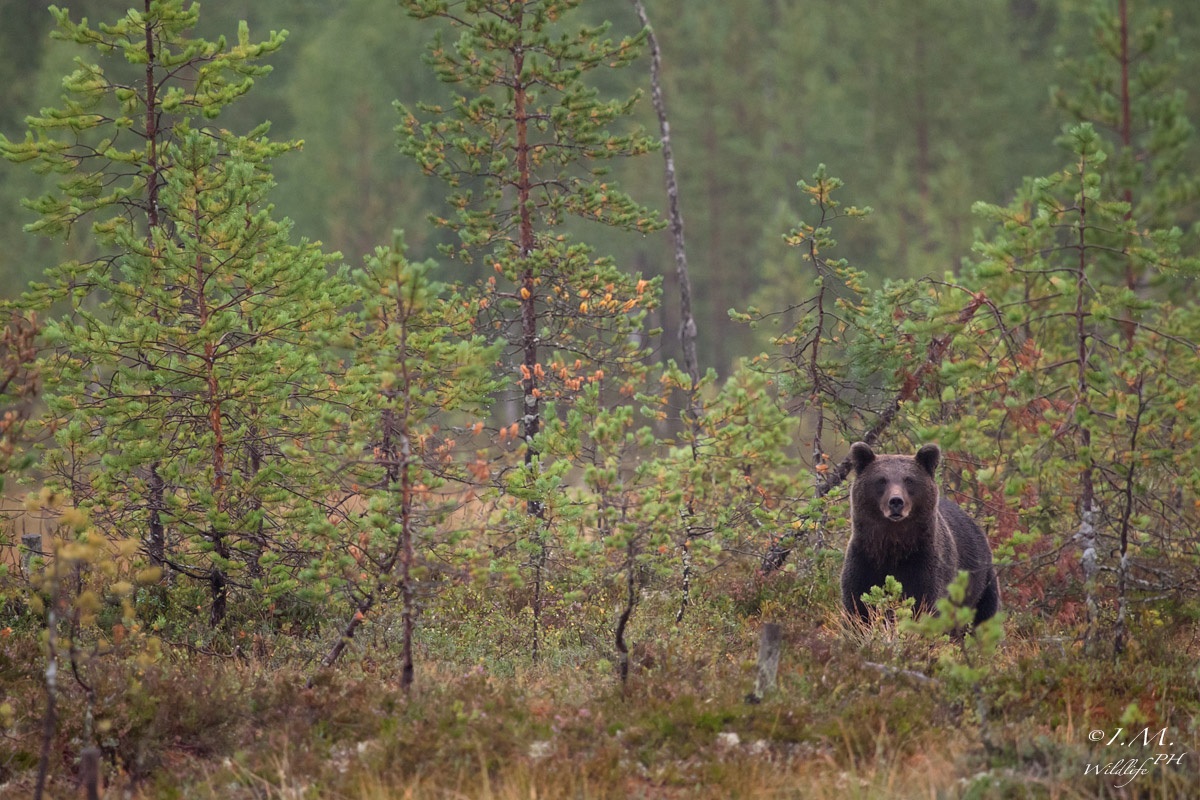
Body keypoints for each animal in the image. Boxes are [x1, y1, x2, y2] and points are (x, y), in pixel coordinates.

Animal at [840, 442, 1000, 627]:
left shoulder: (924, 564)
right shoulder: (864, 561)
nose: (896, 501)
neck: (892, 547)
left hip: (981, 583)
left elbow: (925, 604)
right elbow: (857, 606)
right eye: (881, 480)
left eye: (909, 480)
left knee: (985, 616)